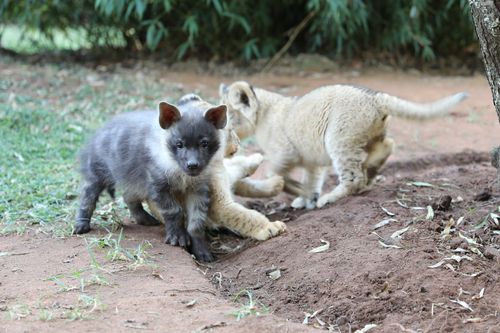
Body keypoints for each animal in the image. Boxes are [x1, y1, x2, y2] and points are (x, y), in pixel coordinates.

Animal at [73, 96, 227, 262]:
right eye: (179, 144)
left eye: (204, 143)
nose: (193, 165)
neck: (181, 175)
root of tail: (98, 132)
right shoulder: (156, 182)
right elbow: (174, 211)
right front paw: (177, 239)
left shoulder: (199, 187)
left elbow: (197, 221)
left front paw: (203, 253)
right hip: (97, 171)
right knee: (88, 195)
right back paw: (80, 227)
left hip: (132, 179)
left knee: (128, 196)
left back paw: (147, 220)